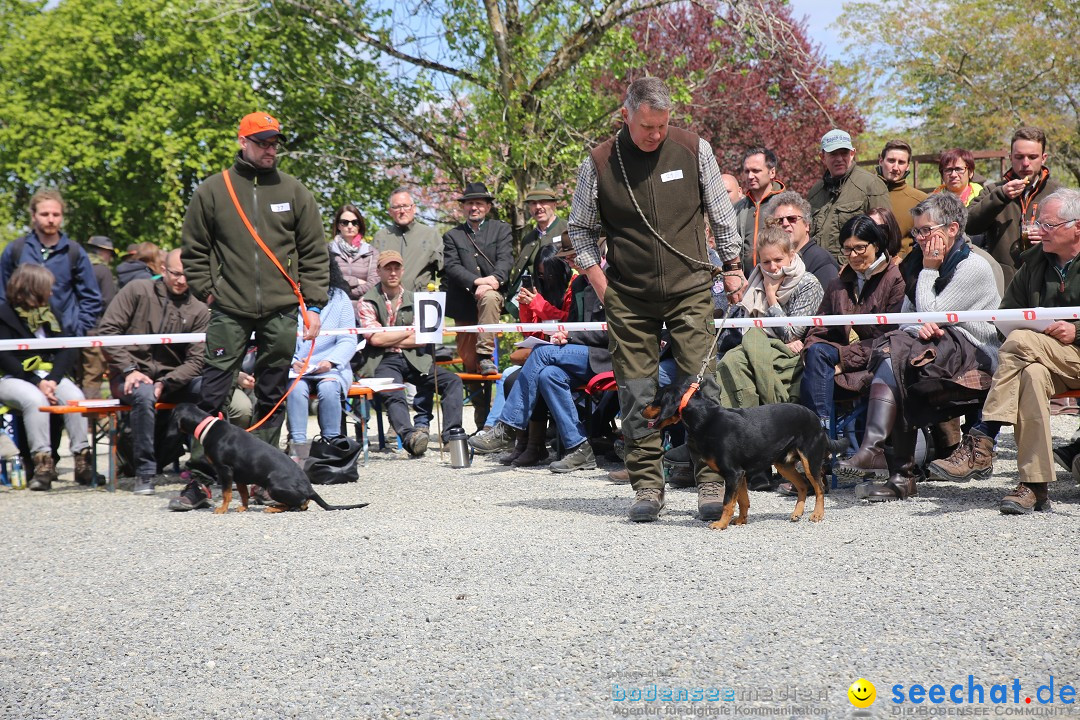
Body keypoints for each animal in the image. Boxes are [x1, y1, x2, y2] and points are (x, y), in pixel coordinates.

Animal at [172, 405, 367, 511]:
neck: (208, 427)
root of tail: (310, 489)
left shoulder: (225, 470)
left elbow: (227, 493)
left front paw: (222, 509)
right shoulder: (239, 475)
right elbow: (243, 494)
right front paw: (243, 507)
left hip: (273, 485)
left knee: (298, 506)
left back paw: (273, 508)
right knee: (303, 504)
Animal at [639, 382, 842, 528]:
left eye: (657, 399)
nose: (641, 409)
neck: (704, 417)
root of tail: (817, 420)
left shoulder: (733, 473)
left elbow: (728, 502)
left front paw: (721, 524)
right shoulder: (740, 474)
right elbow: (743, 501)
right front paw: (740, 521)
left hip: (810, 461)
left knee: (819, 488)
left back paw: (817, 514)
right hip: (783, 464)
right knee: (802, 486)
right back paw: (796, 513)